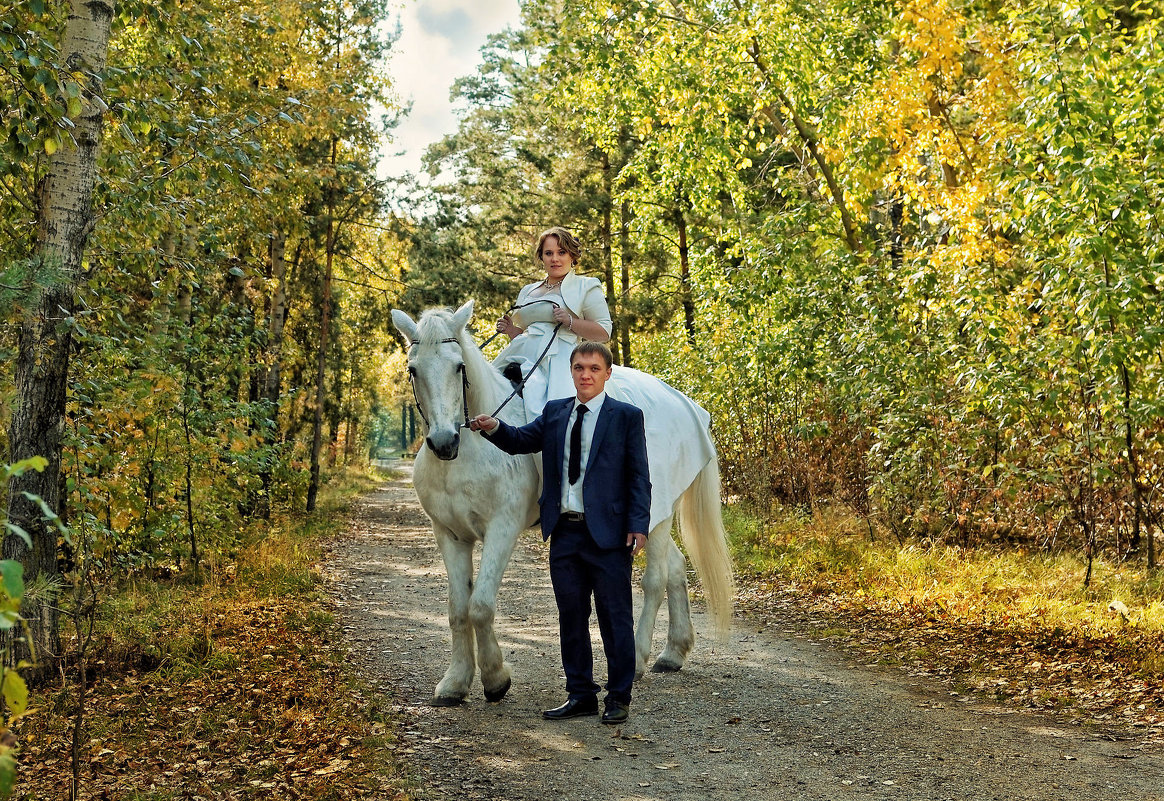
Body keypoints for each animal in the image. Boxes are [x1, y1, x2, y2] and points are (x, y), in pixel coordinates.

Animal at [393, 302, 735, 707]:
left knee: (655, 580)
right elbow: (458, 610)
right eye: (413, 369)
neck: (473, 450)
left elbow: (480, 605)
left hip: (656, 513)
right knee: (677, 567)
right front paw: (455, 682)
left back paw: (637, 657)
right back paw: (673, 652)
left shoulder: (502, 528)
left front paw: (496, 678)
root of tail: (683, 403)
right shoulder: (449, 534)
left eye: (458, 366)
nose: (444, 442)